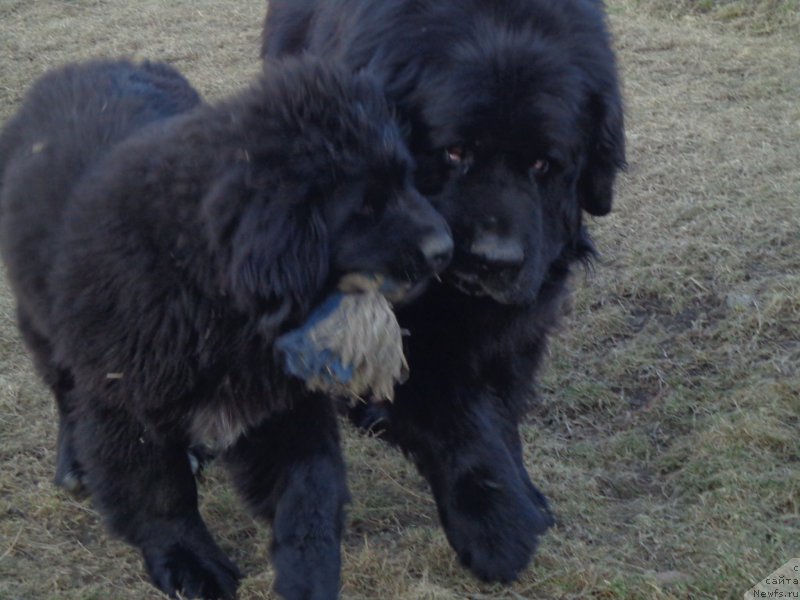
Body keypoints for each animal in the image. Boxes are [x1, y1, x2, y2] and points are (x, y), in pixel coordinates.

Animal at [0, 57, 450, 600]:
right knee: (66, 395)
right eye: (364, 206)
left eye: (407, 181)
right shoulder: (126, 397)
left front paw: (309, 572)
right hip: (46, 326)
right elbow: (160, 491)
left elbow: (309, 488)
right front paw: (189, 562)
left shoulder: (280, 401)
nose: (447, 248)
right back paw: (72, 465)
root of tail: (91, 65)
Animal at [262, 0, 624, 584]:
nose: (493, 259)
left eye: (543, 164)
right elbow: (454, 411)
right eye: (455, 152)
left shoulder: (524, 309)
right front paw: (497, 525)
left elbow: (500, 400)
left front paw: (523, 491)